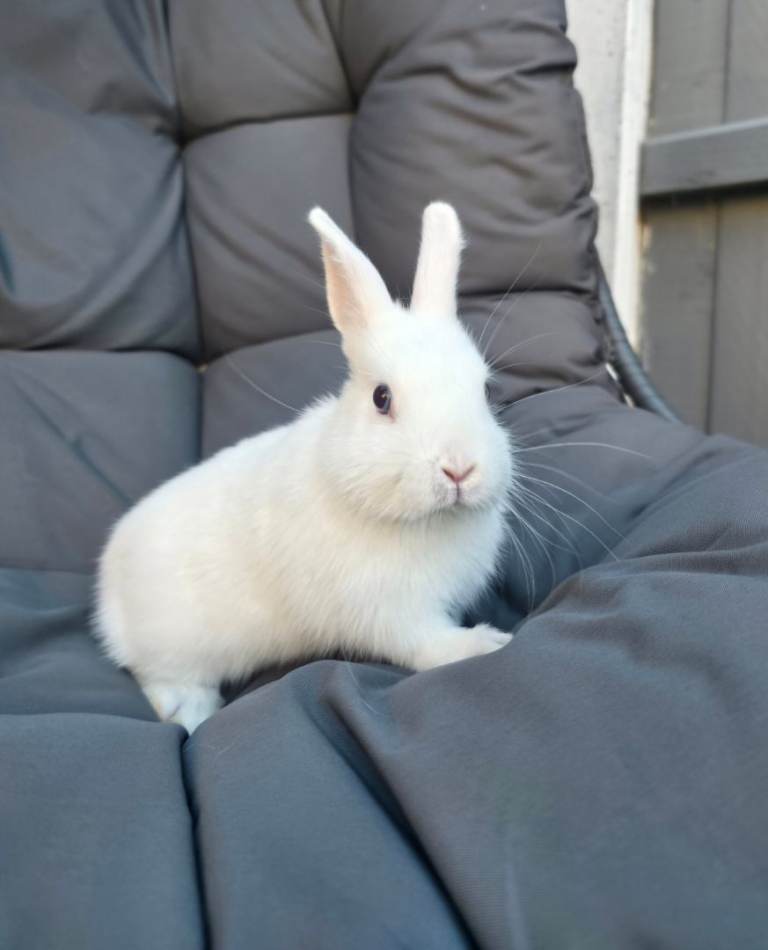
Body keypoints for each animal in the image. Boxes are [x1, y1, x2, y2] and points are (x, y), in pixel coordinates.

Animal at [95, 202, 518, 733]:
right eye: (382, 398)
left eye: (486, 390)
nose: (459, 469)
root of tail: (107, 592)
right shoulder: (391, 613)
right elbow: (429, 648)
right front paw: (489, 642)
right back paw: (191, 712)